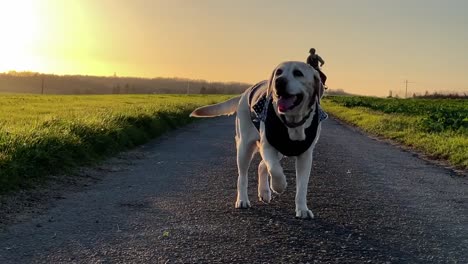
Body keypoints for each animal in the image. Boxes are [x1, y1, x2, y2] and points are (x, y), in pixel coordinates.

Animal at [190, 62, 326, 219]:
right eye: (278, 72)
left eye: (298, 73)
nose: (278, 81)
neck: (292, 122)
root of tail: (245, 92)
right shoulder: (267, 146)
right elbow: (274, 169)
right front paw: (279, 186)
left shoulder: (305, 156)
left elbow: (302, 186)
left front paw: (302, 209)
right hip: (244, 147)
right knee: (243, 176)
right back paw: (243, 199)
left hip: (278, 150)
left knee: (261, 166)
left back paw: (264, 192)